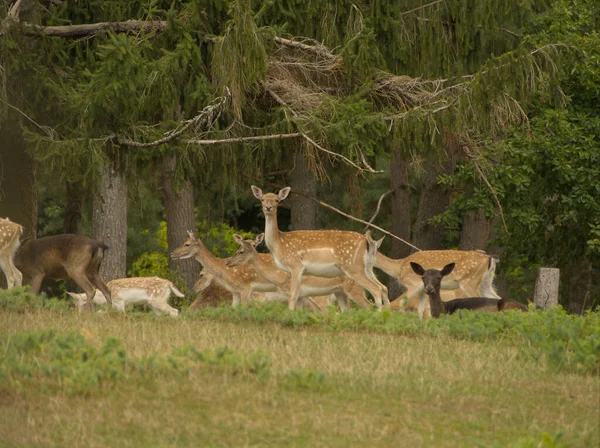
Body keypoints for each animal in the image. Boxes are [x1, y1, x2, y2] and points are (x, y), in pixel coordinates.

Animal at [225, 234, 372, 312]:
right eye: (238, 249)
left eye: (241, 251)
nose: (228, 262)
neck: (278, 277)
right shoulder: (301, 296)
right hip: (340, 292)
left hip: (354, 290)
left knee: (369, 305)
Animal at [250, 186, 386, 312]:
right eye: (262, 199)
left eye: (277, 200)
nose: (268, 208)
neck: (279, 244)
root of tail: (367, 241)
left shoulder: (296, 265)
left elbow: (293, 294)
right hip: (367, 267)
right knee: (382, 286)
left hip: (353, 267)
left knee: (376, 289)